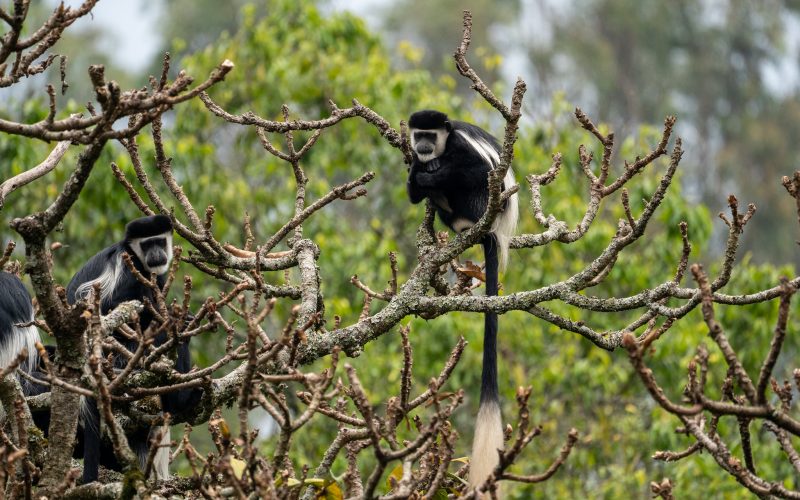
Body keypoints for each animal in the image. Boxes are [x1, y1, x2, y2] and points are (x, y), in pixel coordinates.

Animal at [66, 214, 199, 483]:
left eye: (159, 241)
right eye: (147, 245)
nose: (157, 254)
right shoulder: (126, 270)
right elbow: (114, 305)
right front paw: (172, 318)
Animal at [406, 109, 519, 490]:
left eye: (431, 135)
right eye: (419, 135)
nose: (424, 147)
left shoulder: (458, 146)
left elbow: (475, 170)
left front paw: (431, 171)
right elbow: (413, 189)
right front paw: (419, 174)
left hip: (483, 203)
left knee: (475, 180)